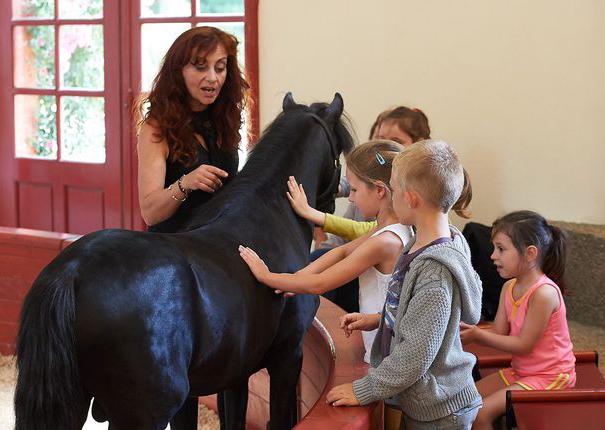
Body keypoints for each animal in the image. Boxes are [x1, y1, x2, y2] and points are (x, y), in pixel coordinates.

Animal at [15, 94, 354, 430]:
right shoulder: (287, 357)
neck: (268, 216)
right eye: (339, 149)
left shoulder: (236, 372)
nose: (337, 198)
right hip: (147, 411)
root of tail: (72, 272)